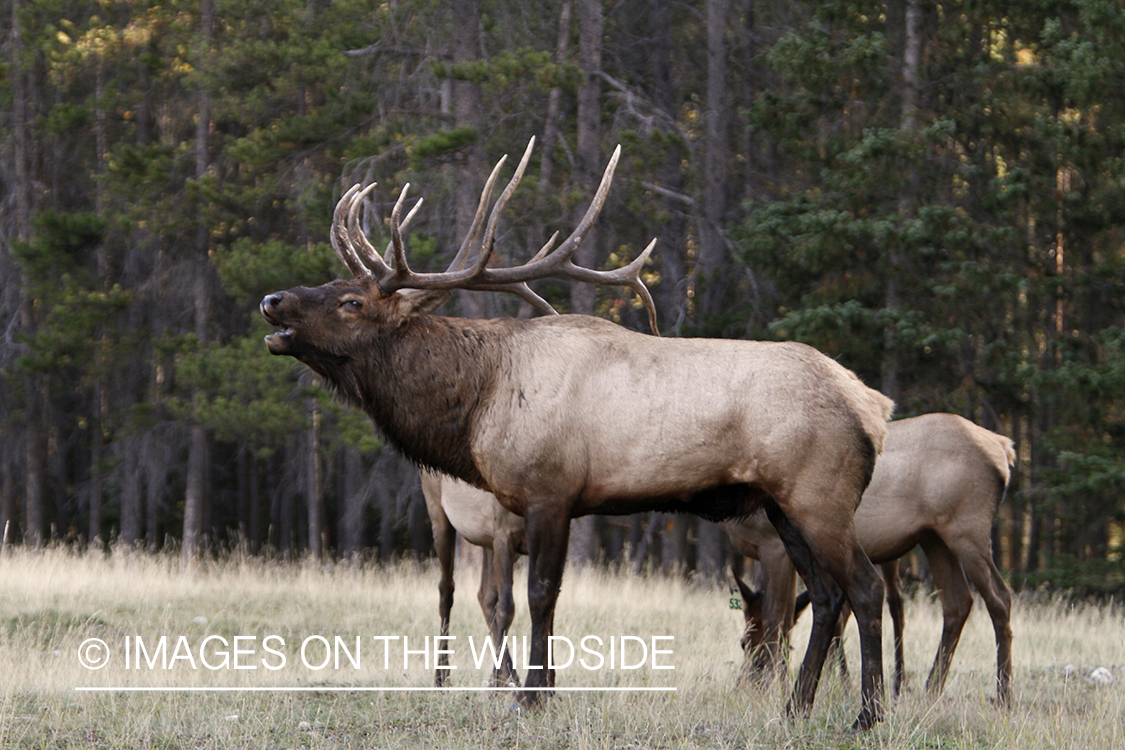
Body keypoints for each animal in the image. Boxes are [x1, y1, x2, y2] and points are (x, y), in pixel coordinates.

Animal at [421, 469, 526, 688]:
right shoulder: (504, 535)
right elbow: (507, 608)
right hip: (439, 515)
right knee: (446, 590)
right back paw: (441, 678)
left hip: (487, 541)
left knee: (485, 596)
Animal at [725, 413, 1014, 705]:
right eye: (743, 643)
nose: (743, 684)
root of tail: (1004, 448)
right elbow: (791, 616)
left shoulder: (773, 544)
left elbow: (777, 617)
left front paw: (771, 687)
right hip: (934, 538)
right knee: (958, 601)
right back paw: (930, 691)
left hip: (968, 528)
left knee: (999, 597)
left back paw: (1003, 696)